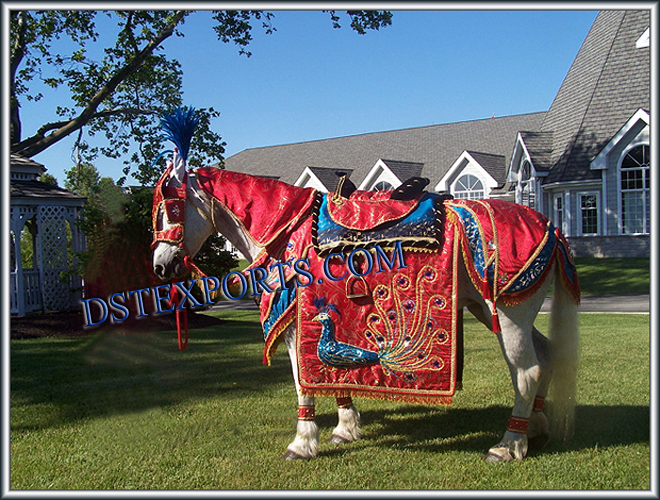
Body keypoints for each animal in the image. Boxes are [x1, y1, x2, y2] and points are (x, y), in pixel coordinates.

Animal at [152, 108, 580, 460]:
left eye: (170, 208)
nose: (160, 265)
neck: (285, 229)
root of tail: (551, 228)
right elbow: (330, 372)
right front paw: (345, 428)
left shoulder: (294, 324)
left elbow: (302, 381)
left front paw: (302, 443)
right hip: (499, 309)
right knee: (546, 356)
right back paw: (535, 429)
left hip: (509, 315)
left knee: (527, 372)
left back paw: (509, 444)